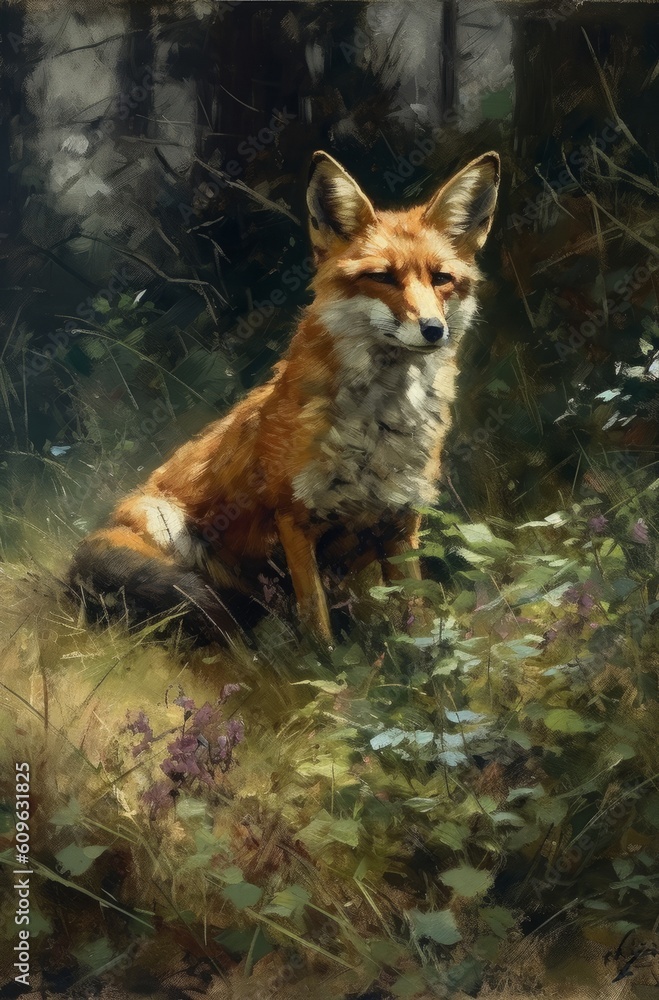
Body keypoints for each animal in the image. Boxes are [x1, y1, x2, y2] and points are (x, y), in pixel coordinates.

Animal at [69, 149, 500, 643]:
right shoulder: (295, 520)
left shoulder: (399, 520)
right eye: (382, 278)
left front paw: (420, 654)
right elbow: (317, 623)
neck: (376, 429)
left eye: (442, 278)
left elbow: (416, 612)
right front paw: (326, 663)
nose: (433, 329)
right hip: (164, 521)